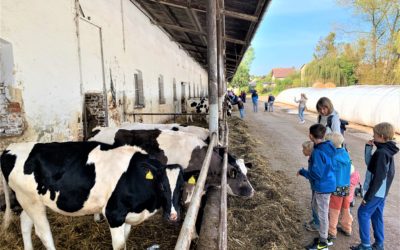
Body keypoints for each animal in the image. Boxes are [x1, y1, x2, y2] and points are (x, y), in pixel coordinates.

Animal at [0, 142, 184, 249]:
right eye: (161, 185)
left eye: (181, 187)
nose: (173, 216)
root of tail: (10, 148)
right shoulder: (114, 213)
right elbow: (119, 245)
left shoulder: (128, 215)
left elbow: (125, 238)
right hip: (30, 201)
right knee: (43, 233)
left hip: (29, 199)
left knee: (25, 222)